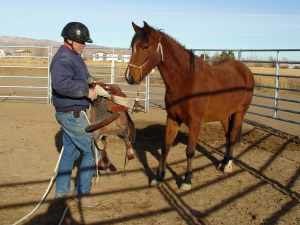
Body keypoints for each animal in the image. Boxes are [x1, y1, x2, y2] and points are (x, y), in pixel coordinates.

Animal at [124, 21, 253, 190]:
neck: (186, 80)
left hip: (239, 113)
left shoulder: (195, 123)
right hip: (224, 115)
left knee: (232, 137)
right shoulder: (172, 118)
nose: (129, 77)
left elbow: (190, 151)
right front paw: (159, 177)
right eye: (132, 46)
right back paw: (223, 163)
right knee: (228, 136)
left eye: (145, 46)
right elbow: (165, 147)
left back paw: (228, 166)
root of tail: (245, 71)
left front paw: (187, 180)